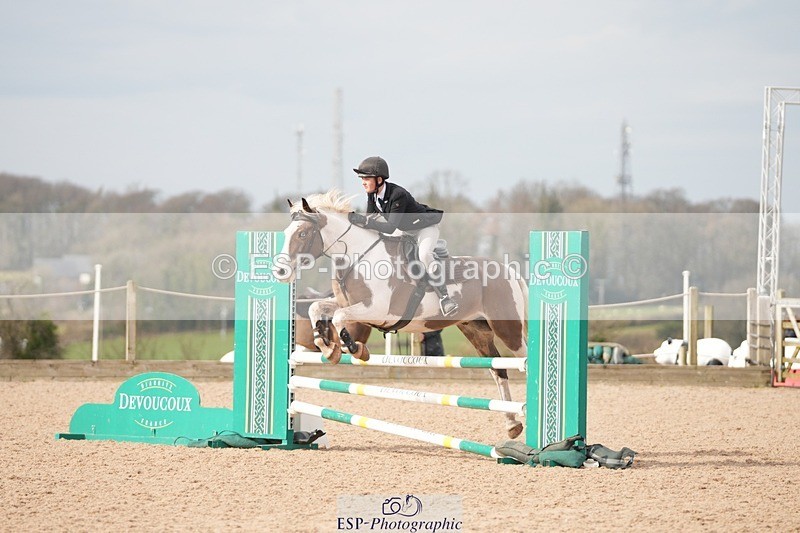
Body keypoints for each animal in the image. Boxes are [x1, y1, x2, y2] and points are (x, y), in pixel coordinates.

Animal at [272, 190, 528, 439]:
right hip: (477, 331)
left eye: (303, 234)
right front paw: (328, 348)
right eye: (286, 233)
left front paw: (354, 349)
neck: (358, 257)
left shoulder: (378, 310)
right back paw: (512, 425)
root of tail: (508, 270)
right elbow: (317, 308)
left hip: (508, 329)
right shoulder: (350, 304)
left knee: (522, 360)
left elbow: (339, 317)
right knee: (498, 369)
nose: (281, 272)